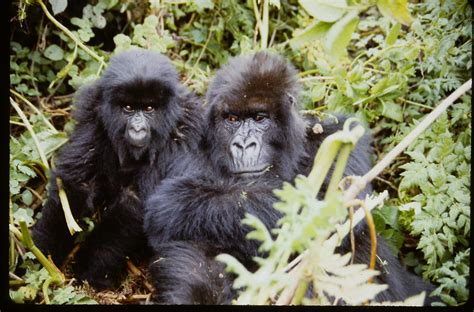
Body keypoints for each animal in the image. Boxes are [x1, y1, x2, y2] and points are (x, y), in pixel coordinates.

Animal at [32, 48, 203, 290]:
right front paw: (44, 252)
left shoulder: (185, 128)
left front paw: (91, 267)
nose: (138, 129)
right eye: (128, 108)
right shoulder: (93, 112)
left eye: (149, 108)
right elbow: (77, 184)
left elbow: (136, 203)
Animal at [145, 51, 436, 304]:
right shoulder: (185, 142)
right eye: (232, 119)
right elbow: (193, 257)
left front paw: (179, 202)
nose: (243, 145)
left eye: (259, 118)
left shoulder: (340, 133)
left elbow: (332, 207)